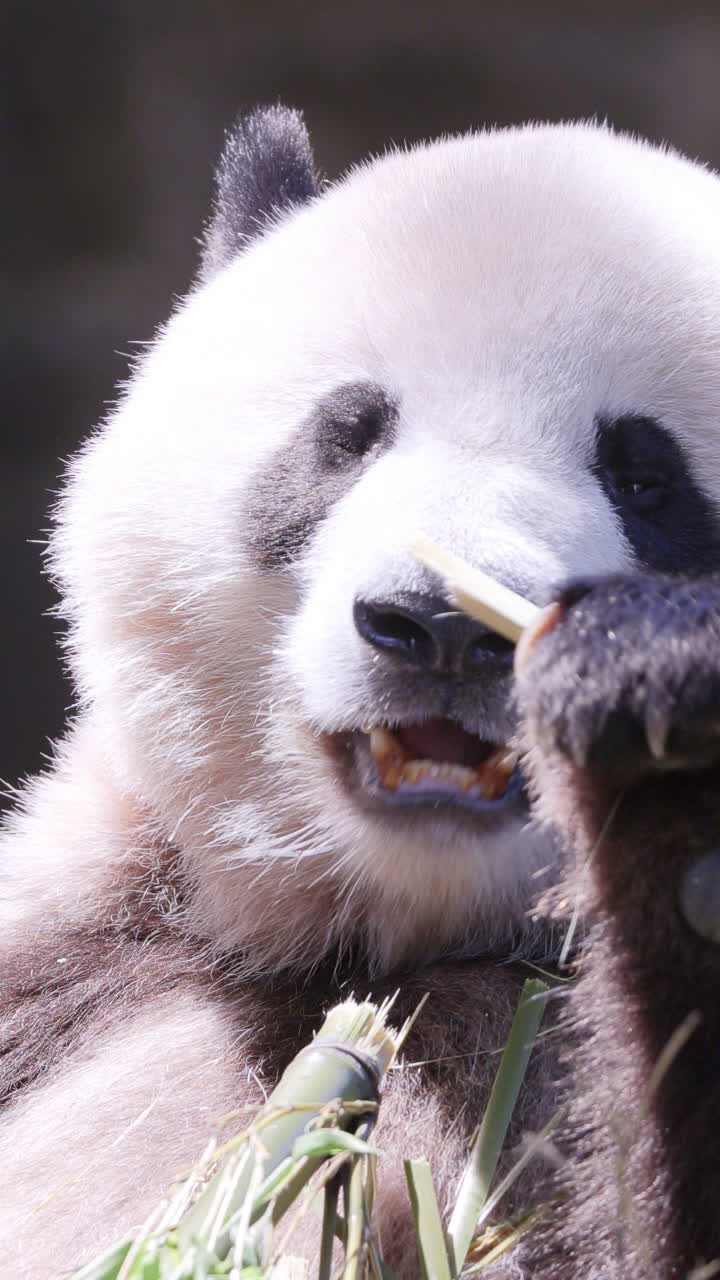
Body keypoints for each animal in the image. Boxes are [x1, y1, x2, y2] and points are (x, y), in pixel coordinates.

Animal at [2, 105, 720, 1279]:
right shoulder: (80, 945)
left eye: (647, 478)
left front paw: (663, 728)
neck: (405, 940)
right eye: (348, 434)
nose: (444, 628)